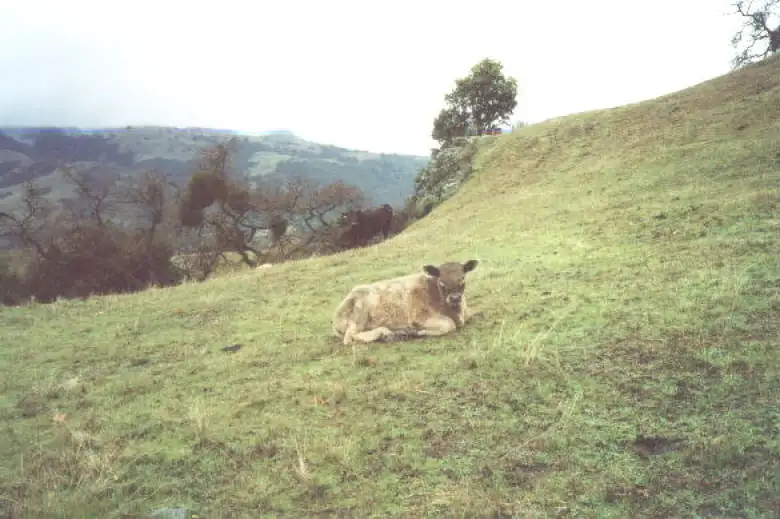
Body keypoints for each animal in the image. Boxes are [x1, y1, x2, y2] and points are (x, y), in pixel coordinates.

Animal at [332, 259, 480, 346]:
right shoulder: (418, 316)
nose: (455, 298)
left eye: (462, 278)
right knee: (350, 338)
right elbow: (448, 324)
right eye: (441, 282)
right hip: (359, 313)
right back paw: (385, 334)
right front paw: (413, 332)